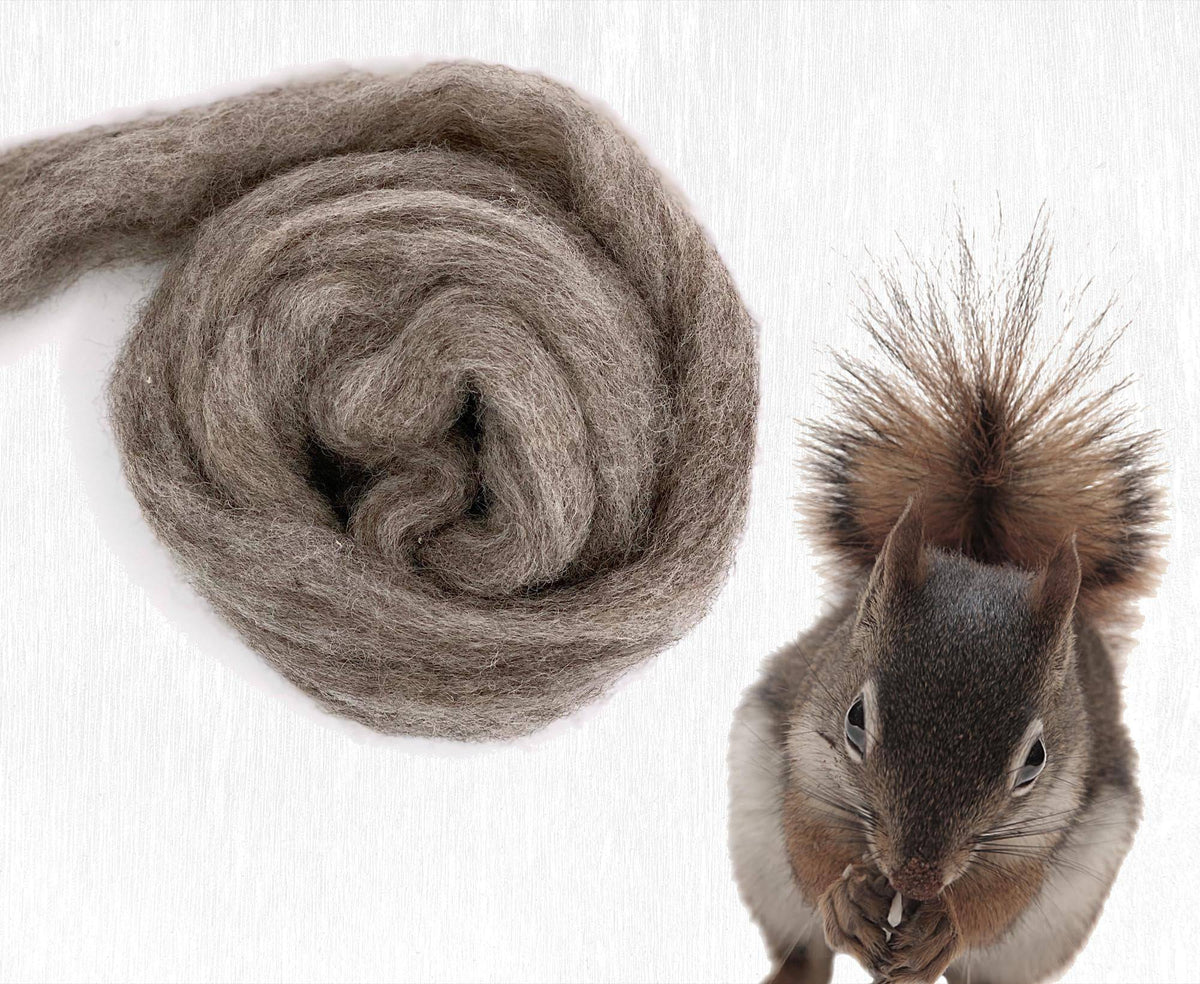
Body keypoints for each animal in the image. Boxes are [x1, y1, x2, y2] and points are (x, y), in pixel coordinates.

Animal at [728, 226, 1163, 984]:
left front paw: (946, 924)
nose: (918, 877)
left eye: (1035, 760)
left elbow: (1001, 897)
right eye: (854, 720)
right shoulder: (804, 761)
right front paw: (846, 903)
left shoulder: (1043, 830)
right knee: (802, 947)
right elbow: (810, 845)